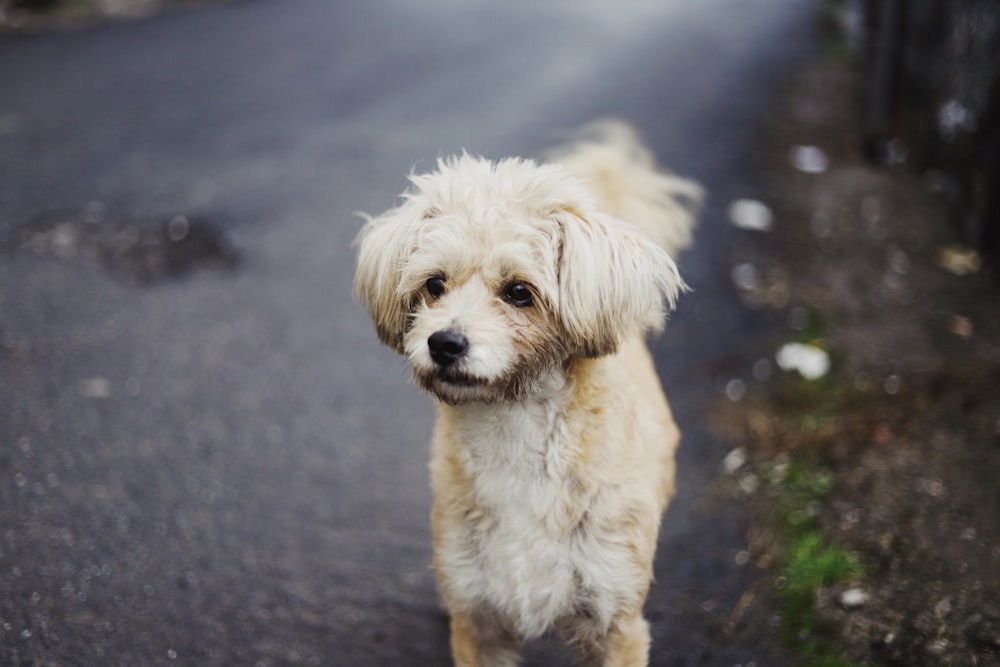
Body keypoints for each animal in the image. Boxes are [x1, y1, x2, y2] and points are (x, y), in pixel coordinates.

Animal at [356, 121, 700, 667]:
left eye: (520, 292)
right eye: (434, 285)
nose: (443, 343)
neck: (514, 429)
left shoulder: (615, 621)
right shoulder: (478, 620)